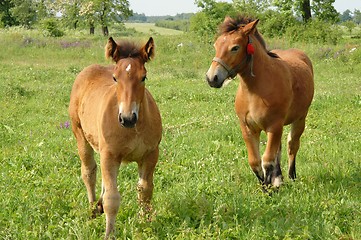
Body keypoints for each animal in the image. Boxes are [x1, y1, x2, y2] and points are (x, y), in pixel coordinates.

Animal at [68, 36, 161, 237]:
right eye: (115, 78)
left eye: (143, 77)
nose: (127, 118)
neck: (134, 129)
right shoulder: (109, 155)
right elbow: (112, 198)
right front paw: (109, 234)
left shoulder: (150, 154)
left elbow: (145, 190)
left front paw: (145, 223)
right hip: (80, 134)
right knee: (89, 171)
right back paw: (92, 209)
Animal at [205, 16, 312, 188]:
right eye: (216, 45)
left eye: (235, 47)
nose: (212, 78)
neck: (254, 91)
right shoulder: (248, 128)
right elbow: (255, 162)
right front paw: (266, 185)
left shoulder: (274, 126)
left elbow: (267, 160)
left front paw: (270, 188)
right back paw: (279, 178)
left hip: (300, 119)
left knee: (292, 146)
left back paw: (291, 176)